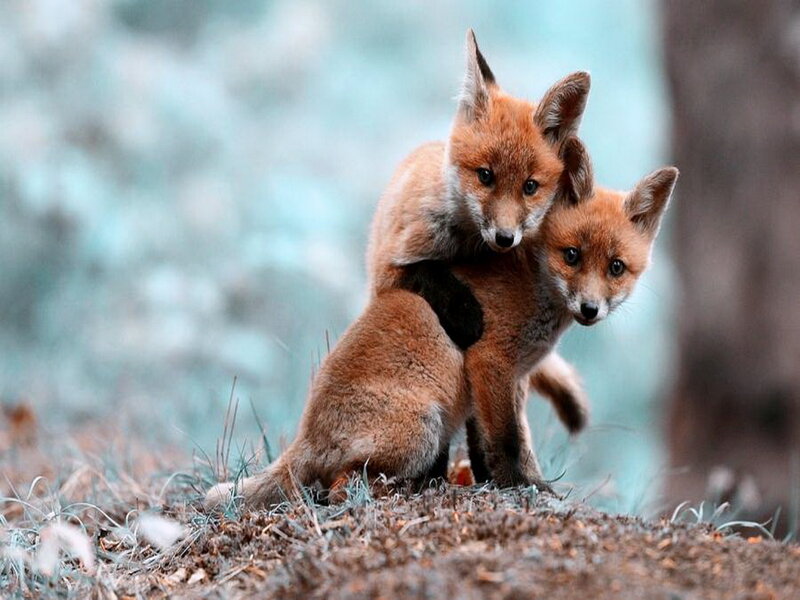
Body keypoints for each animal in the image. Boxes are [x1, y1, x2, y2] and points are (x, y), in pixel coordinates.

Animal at [205, 137, 679, 508]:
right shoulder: (490, 362)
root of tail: (306, 433)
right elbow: (507, 443)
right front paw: (520, 487)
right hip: (422, 430)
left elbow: (503, 443)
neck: (534, 283)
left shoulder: (513, 379)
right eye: (572, 255)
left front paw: (514, 483)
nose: (590, 309)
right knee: (337, 488)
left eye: (616, 267)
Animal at [368, 29, 593, 436]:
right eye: (485, 176)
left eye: (530, 187)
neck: (466, 247)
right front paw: (466, 312)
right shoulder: (389, 270)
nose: (505, 238)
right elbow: (426, 272)